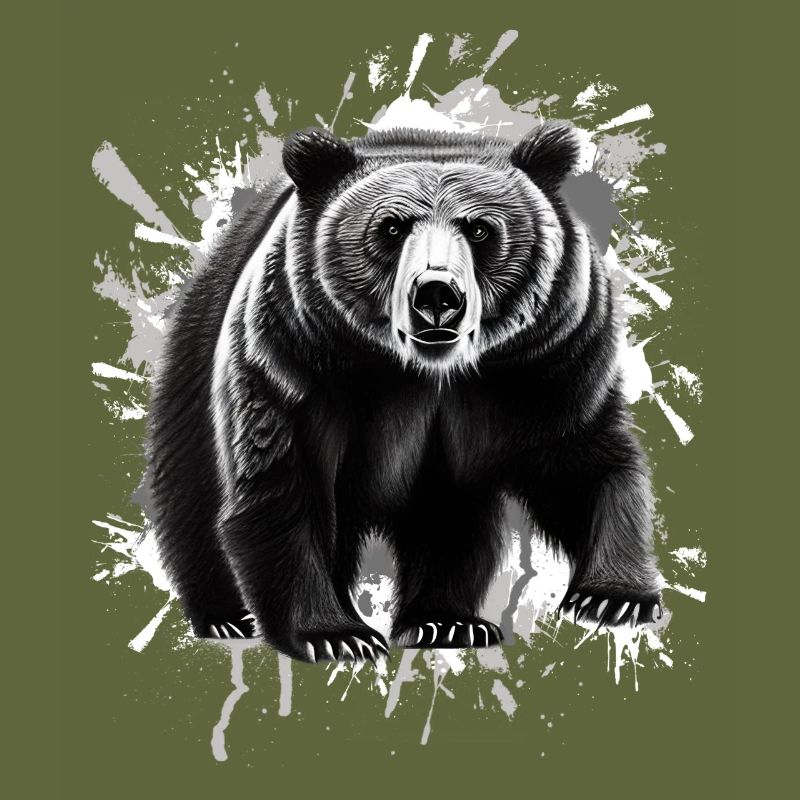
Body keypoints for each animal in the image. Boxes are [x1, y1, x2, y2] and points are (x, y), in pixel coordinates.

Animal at [147, 123, 664, 664]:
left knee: (452, 517)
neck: (423, 373)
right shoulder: (294, 358)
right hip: (194, 363)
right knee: (191, 494)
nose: (437, 295)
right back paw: (225, 616)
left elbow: (583, 462)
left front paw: (614, 597)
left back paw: (445, 621)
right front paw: (335, 634)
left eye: (480, 229)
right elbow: (283, 481)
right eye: (391, 228)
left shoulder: (552, 361)